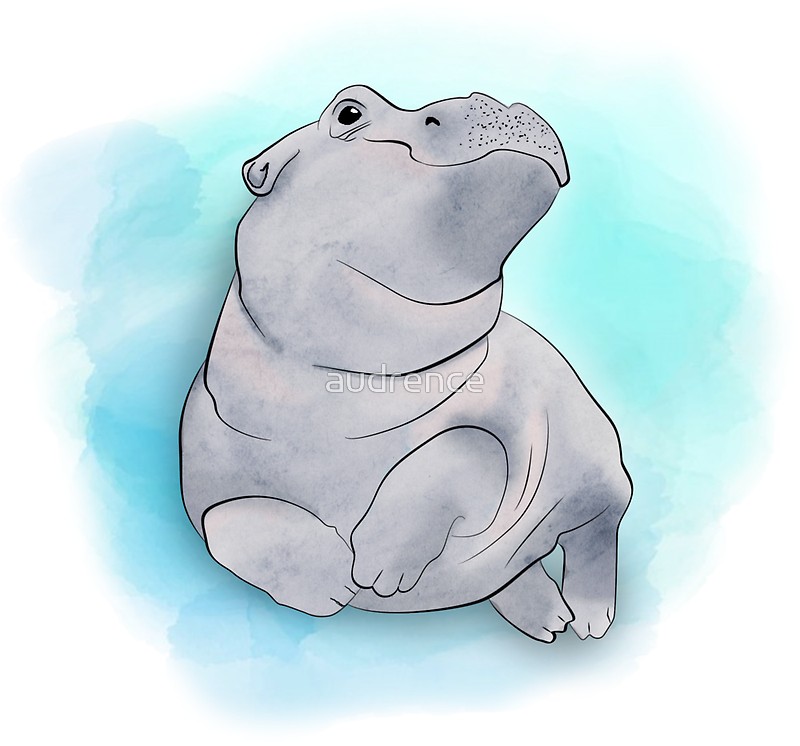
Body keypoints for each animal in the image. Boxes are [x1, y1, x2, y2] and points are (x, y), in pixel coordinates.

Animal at [179, 85, 632, 642]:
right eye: (350, 111)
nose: (497, 99)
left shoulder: (508, 431)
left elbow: (465, 446)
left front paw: (376, 568)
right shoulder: (203, 477)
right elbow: (228, 521)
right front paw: (335, 582)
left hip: (599, 473)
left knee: (596, 537)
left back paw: (589, 621)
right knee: (518, 568)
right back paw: (547, 618)